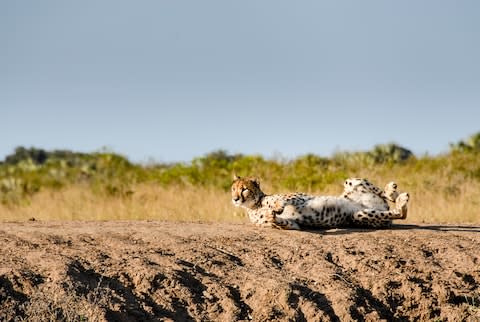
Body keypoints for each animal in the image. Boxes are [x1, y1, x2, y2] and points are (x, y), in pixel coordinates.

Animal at [231, 175, 406, 230]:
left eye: (244, 189)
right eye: (233, 189)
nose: (235, 199)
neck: (255, 205)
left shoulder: (300, 197)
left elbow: (283, 200)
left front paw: (277, 206)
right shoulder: (293, 224)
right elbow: (281, 221)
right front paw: (272, 215)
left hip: (351, 181)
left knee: (389, 198)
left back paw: (394, 193)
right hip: (359, 215)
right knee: (398, 213)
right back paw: (400, 202)